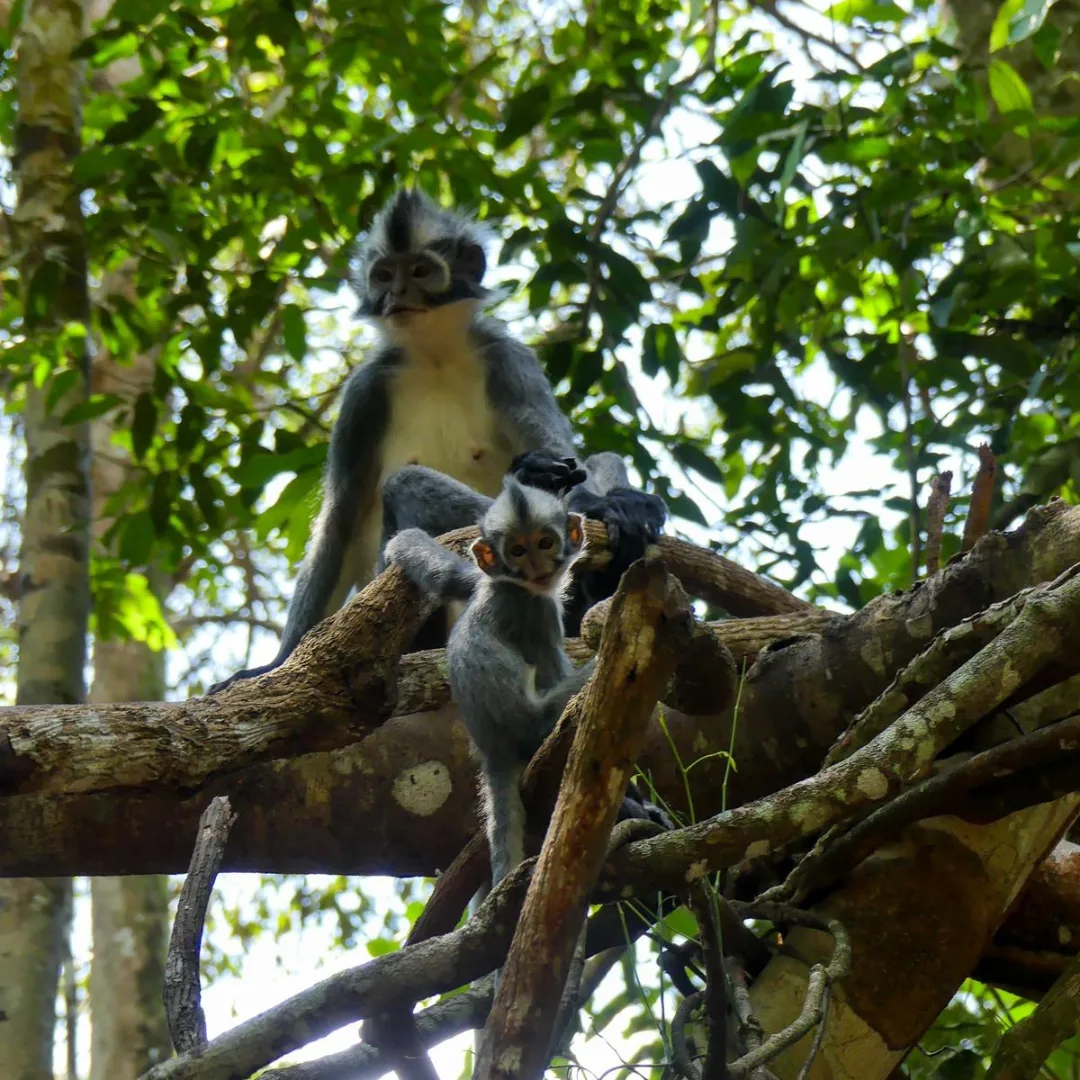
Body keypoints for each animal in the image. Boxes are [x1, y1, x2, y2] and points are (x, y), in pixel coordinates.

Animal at [209, 187, 665, 694]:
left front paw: (604, 503)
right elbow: (341, 516)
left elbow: (572, 459)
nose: (396, 294)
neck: (435, 356)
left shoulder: (507, 360)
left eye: (420, 271)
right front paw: (273, 665)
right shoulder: (364, 393)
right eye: (384, 275)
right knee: (404, 487)